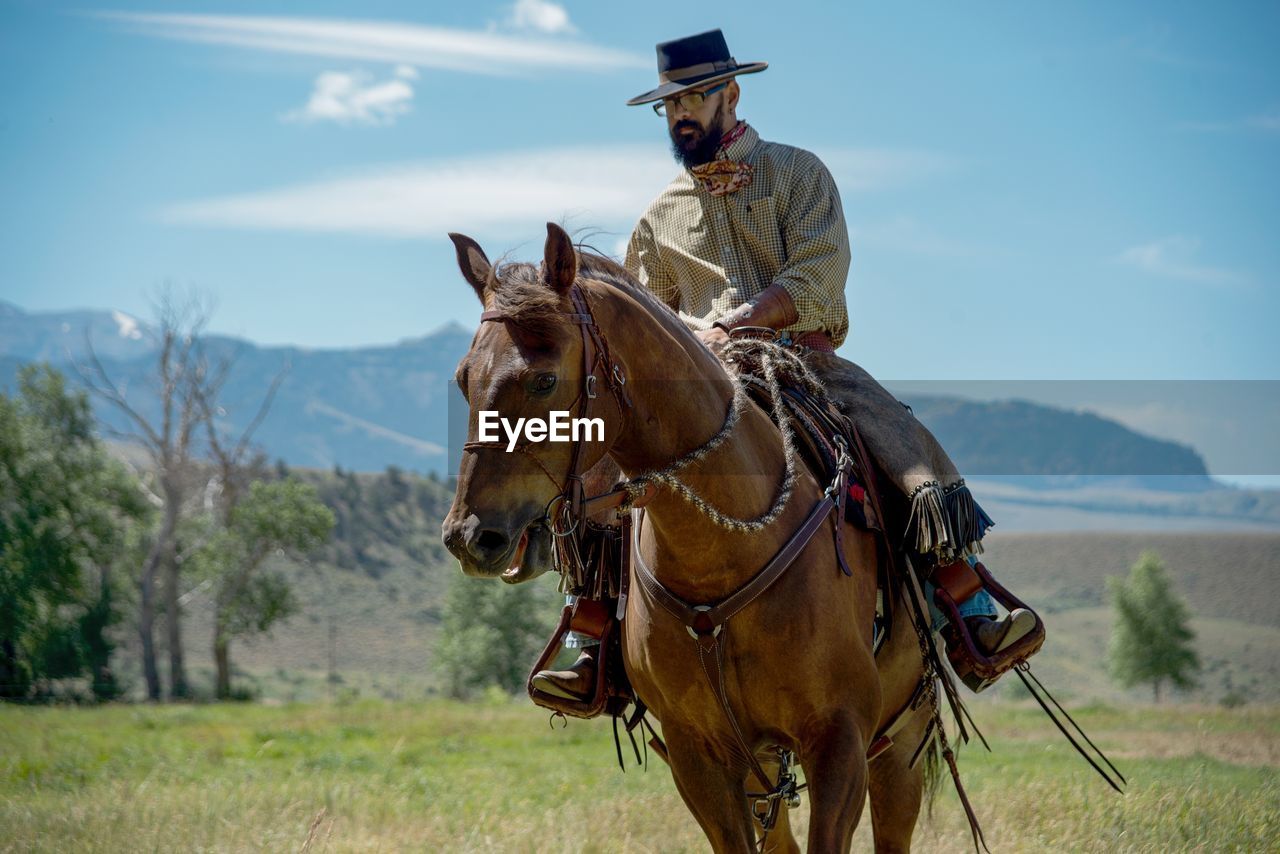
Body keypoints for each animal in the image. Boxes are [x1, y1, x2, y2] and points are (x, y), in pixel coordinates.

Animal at [445, 224, 936, 850]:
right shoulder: (698, 756)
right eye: (465, 379)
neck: (721, 553)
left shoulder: (840, 741)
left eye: (544, 379)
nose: (468, 535)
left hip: (901, 746)